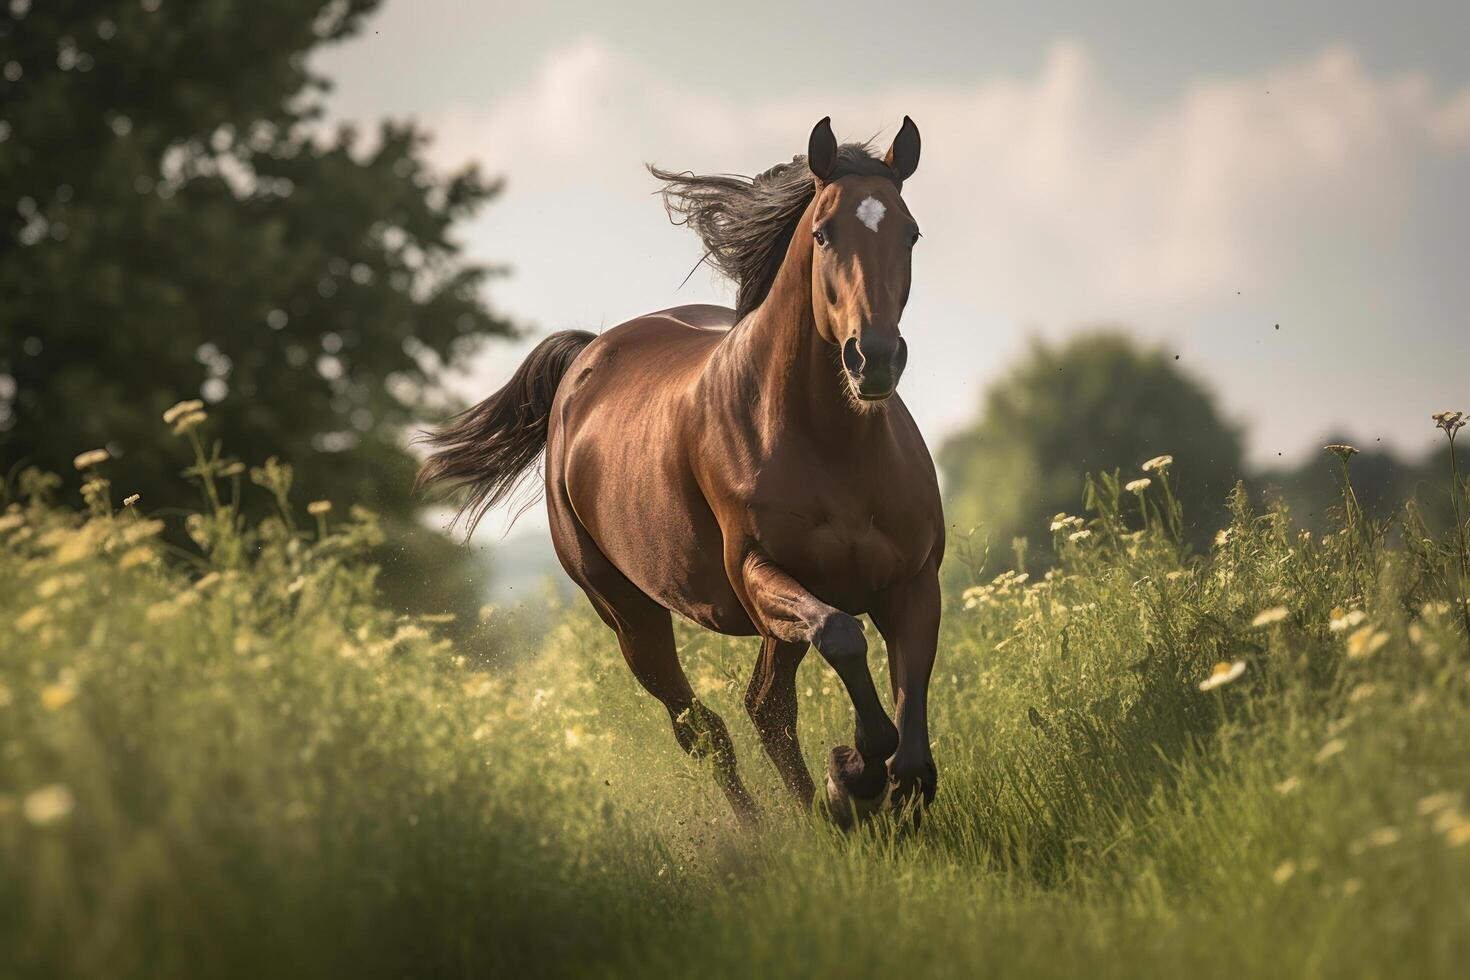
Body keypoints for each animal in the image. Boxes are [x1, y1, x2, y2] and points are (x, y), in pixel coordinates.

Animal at [417, 116, 940, 828]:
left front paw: (865, 783)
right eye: (824, 233)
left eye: (910, 231)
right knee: (705, 727)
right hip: (629, 614)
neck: (835, 448)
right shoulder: (759, 573)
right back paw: (769, 831)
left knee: (764, 709)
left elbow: (912, 749)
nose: (875, 359)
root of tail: (587, 357)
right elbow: (842, 636)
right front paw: (853, 774)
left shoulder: (914, 585)